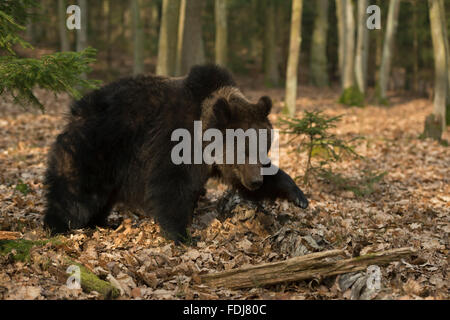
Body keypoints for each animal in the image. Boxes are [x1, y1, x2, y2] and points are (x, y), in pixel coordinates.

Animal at [44, 64, 308, 242]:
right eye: (242, 150)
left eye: (264, 147)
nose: (255, 181)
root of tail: (76, 111)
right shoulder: (173, 140)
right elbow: (170, 184)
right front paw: (182, 234)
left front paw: (298, 196)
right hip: (96, 147)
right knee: (76, 192)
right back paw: (58, 225)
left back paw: (99, 223)